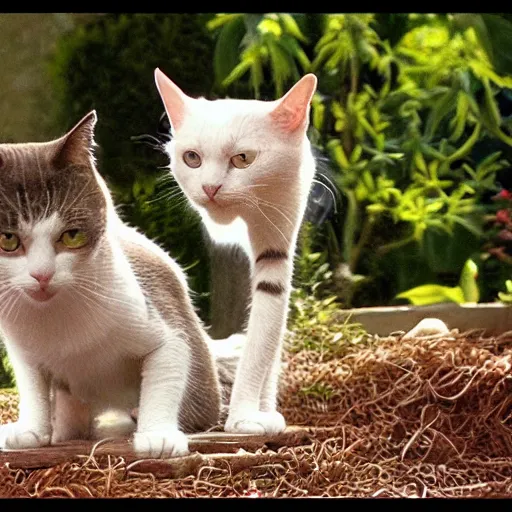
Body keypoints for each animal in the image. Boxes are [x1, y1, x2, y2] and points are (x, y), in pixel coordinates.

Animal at [0, 111, 223, 456]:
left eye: (72, 235)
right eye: (8, 240)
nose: (42, 275)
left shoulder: (157, 318)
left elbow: (167, 364)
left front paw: (157, 436)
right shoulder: (21, 346)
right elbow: (32, 382)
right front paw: (30, 430)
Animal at [154, 70, 318, 434]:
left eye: (242, 159)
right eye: (192, 158)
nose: (210, 188)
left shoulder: (278, 241)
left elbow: (265, 336)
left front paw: (250, 414)